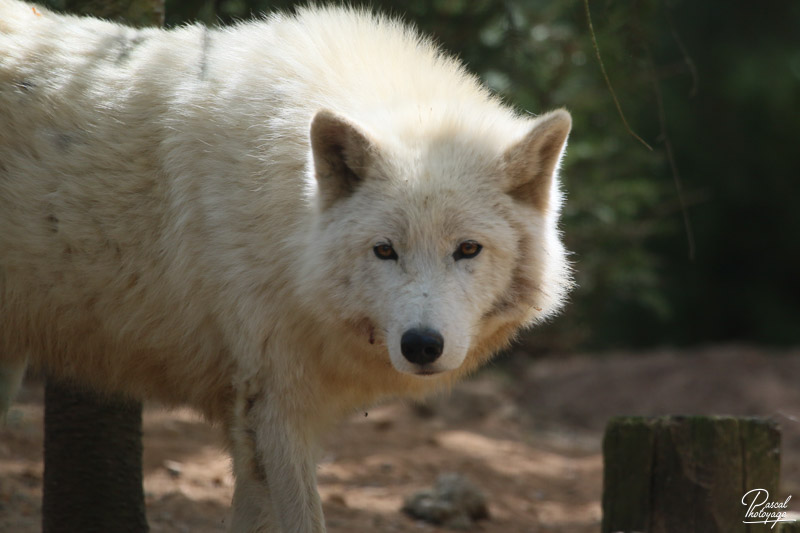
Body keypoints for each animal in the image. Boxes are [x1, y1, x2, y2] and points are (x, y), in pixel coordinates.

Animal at [0, 2, 576, 528]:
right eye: (384, 250)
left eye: (468, 249)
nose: (421, 345)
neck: (289, 231)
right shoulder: (272, 412)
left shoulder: (261, 423)